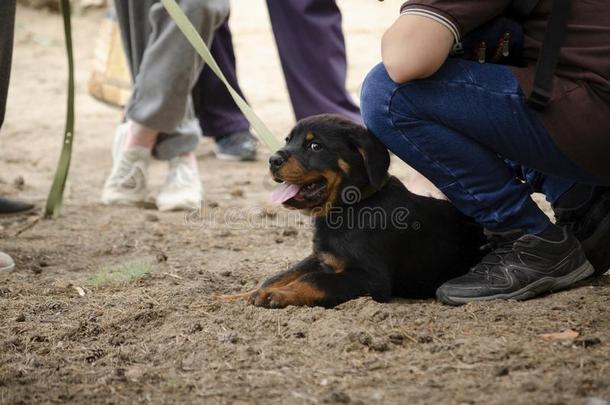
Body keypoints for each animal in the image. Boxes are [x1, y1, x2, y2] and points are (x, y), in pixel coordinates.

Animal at [226, 113, 482, 306]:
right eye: (288, 140)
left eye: (315, 146)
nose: (272, 160)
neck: (349, 208)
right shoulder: (322, 257)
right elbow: (283, 274)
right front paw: (244, 293)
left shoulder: (372, 277)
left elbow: (314, 279)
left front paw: (279, 294)